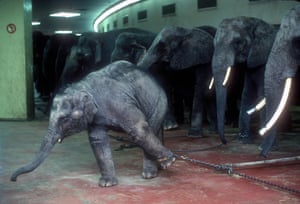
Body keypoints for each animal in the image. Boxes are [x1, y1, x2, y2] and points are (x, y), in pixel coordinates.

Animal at [11, 60, 176, 186]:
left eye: (64, 119)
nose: (13, 179)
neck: (83, 87)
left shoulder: (120, 104)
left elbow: (139, 129)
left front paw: (171, 160)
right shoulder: (96, 119)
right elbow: (97, 140)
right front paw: (107, 184)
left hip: (158, 102)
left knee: (150, 128)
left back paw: (152, 173)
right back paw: (158, 167)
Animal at [212, 15, 278, 144]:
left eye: (238, 42)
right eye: (214, 43)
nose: (225, 142)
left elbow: (263, 94)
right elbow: (247, 94)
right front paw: (244, 140)